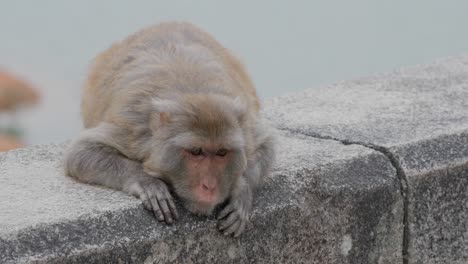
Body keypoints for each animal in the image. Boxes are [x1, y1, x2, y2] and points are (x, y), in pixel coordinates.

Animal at [63, 22, 274, 237]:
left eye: (222, 152)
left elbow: (267, 145)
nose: (209, 186)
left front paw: (241, 190)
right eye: (196, 151)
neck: (194, 93)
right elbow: (80, 153)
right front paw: (148, 182)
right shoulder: (135, 129)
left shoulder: (245, 128)